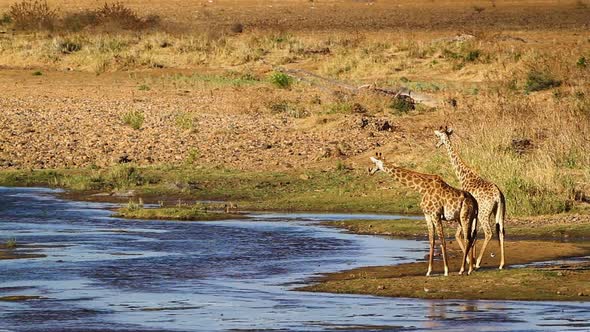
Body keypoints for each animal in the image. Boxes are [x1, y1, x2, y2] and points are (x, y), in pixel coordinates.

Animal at [434, 127, 508, 270]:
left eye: (438, 137)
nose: (436, 145)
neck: (463, 175)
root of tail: (498, 195)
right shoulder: (473, 213)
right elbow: (473, 234)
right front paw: (471, 260)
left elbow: (462, 234)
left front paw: (470, 261)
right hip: (500, 212)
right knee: (501, 231)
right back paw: (501, 264)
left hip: (484, 213)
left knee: (489, 233)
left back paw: (478, 262)